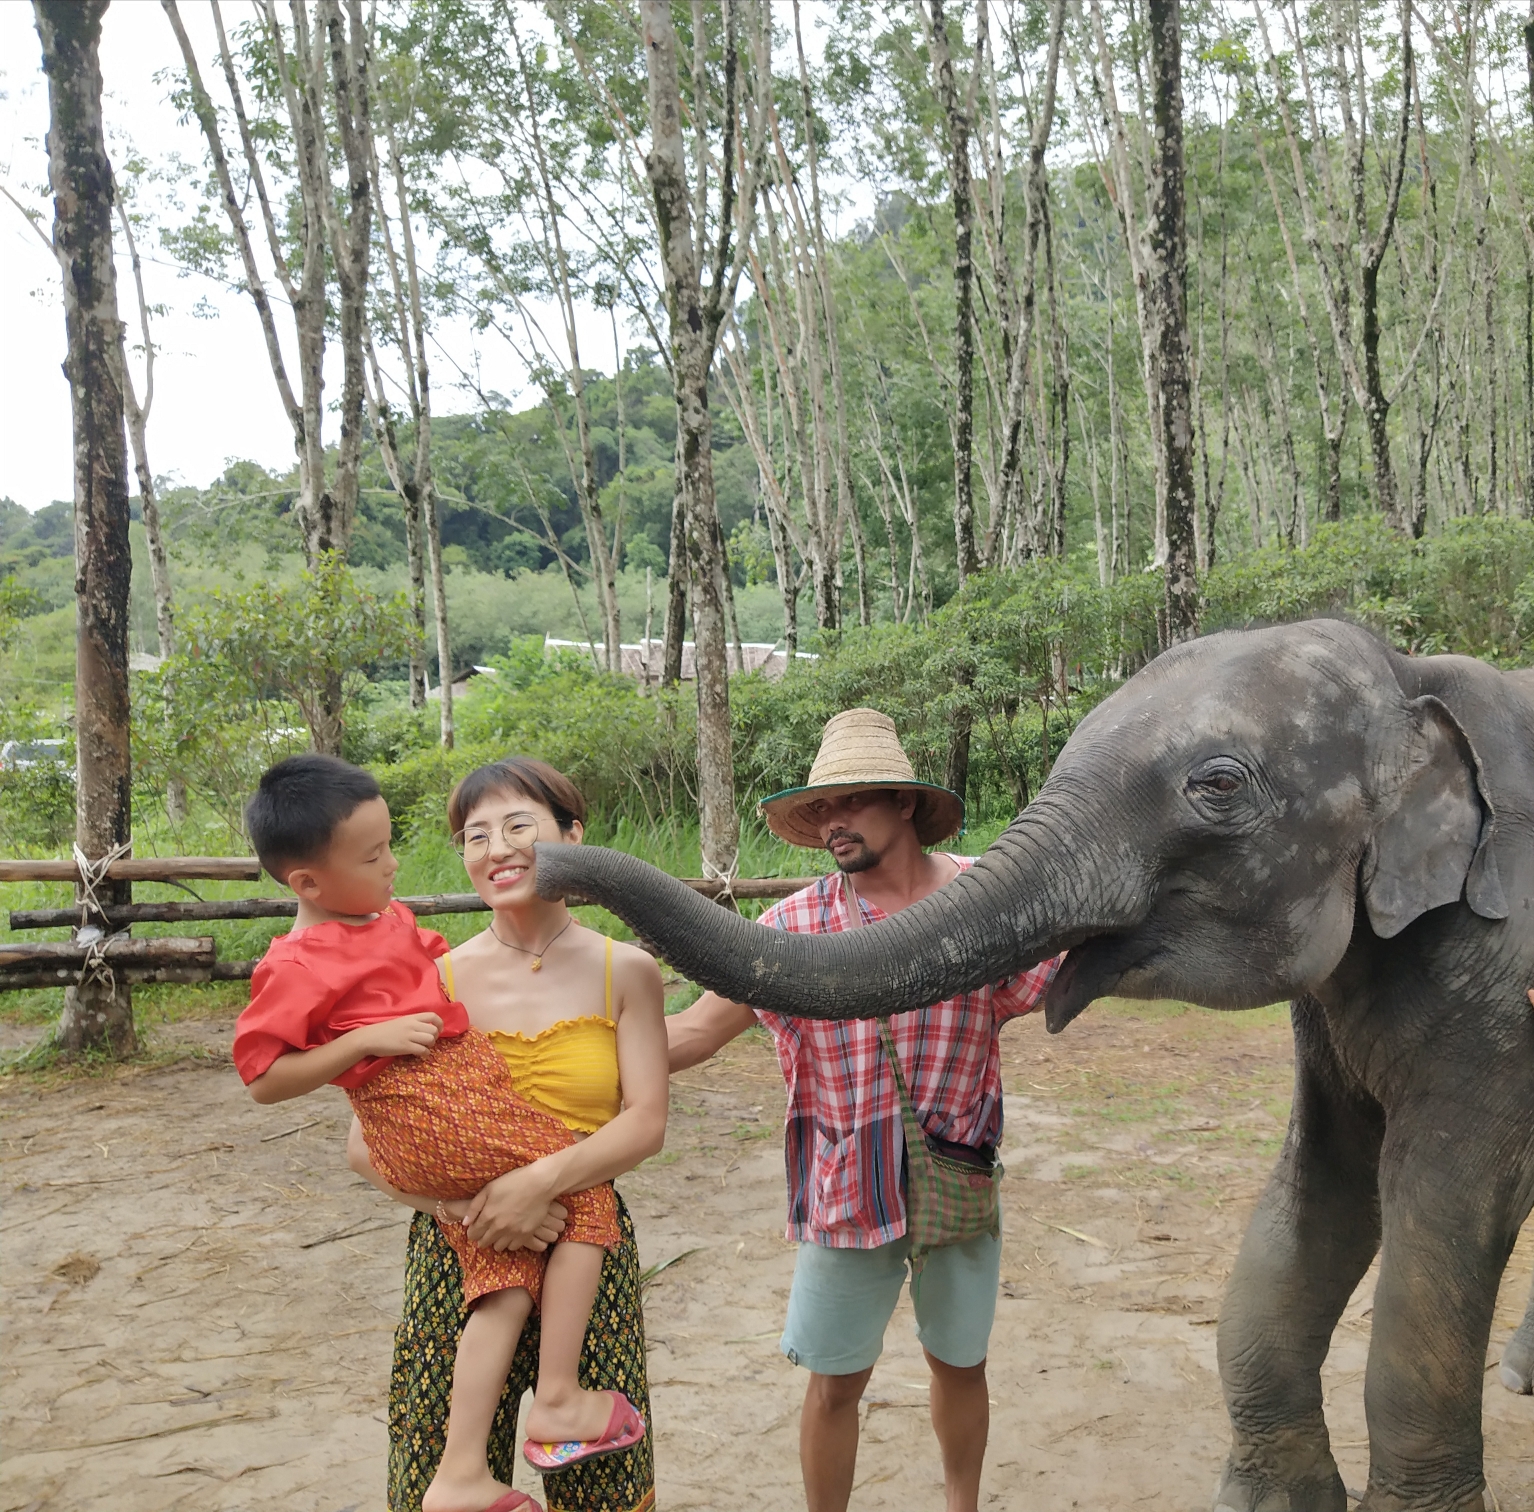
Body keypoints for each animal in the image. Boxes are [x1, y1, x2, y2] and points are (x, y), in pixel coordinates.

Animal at [536, 616, 1534, 1508]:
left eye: (1218, 785)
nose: (540, 856)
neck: (1414, 674)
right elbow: (1318, 1195)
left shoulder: (1501, 978)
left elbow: (1439, 1212)